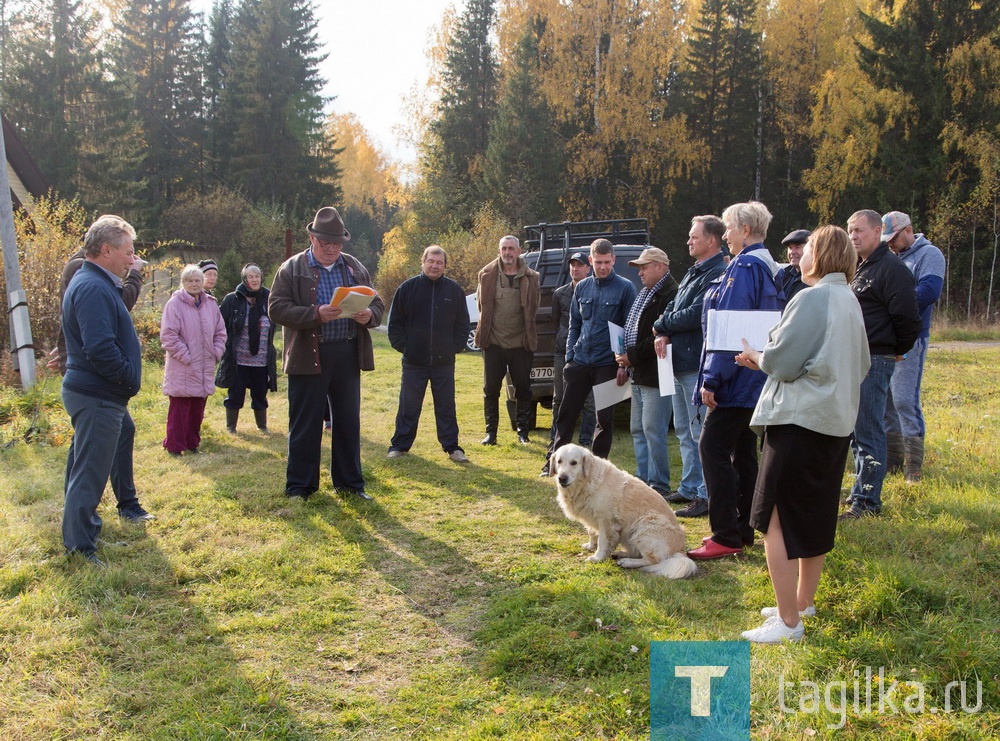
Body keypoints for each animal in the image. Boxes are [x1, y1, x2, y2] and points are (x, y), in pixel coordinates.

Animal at [556, 442, 696, 580]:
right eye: (559, 461)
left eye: (574, 462)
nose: (561, 478)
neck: (585, 482)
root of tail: (681, 553)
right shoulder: (591, 515)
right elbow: (591, 532)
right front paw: (591, 546)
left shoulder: (606, 520)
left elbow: (603, 541)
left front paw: (597, 557)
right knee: (637, 553)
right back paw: (620, 554)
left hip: (645, 526)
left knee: (652, 560)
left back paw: (627, 562)